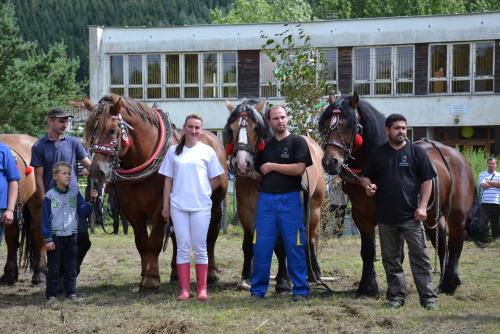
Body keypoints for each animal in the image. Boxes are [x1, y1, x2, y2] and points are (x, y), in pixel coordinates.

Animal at [84, 94, 229, 290]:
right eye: (91, 132)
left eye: (112, 131)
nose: (96, 171)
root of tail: (212, 137)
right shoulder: (132, 211)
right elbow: (141, 243)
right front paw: (145, 275)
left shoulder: (160, 208)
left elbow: (154, 242)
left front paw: (151, 279)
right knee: (177, 237)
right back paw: (176, 272)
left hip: (214, 205)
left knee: (211, 236)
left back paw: (212, 274)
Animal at [224, 100, 326, 290]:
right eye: (232, 129)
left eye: (256, 128)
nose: (242, 164)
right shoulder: (245, 212)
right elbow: (248, 244)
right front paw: (246, 278)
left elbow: (280, 246)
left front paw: (283, 280)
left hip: (314, 208)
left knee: (311, 238)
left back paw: (314, 273)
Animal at [320, 92, 488, 294]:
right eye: (326, 125)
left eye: (348, 125)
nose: (330, 162)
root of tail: (459, 157)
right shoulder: (361, 215)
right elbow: (367, 251)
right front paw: (367, 286)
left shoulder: (395, 213)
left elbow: (397, 254)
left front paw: (396, 287)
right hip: (432, 213)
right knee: (441, 239)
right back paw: (442, 280)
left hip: (457, 213)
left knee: (456, 240)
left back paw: (450, 282)